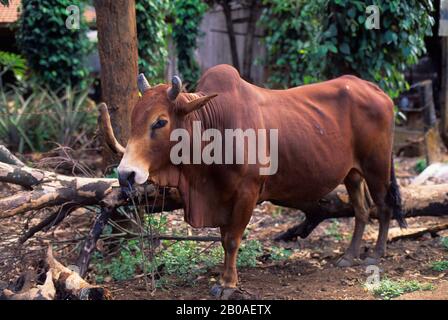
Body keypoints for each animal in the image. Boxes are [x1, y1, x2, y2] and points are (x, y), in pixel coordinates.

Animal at [118, 63, 406, 296]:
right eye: (133, 119)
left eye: (160, 122)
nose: (125, 174)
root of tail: (374, 89)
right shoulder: (222, 197)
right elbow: (224, 238)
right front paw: (225, 279)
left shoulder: (247, 192)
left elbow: (232, 240)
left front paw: (228, 284)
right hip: (352, 174)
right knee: (361, 210)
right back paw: (349, 255)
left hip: (377, 167)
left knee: (383, 207)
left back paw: (375, 255)